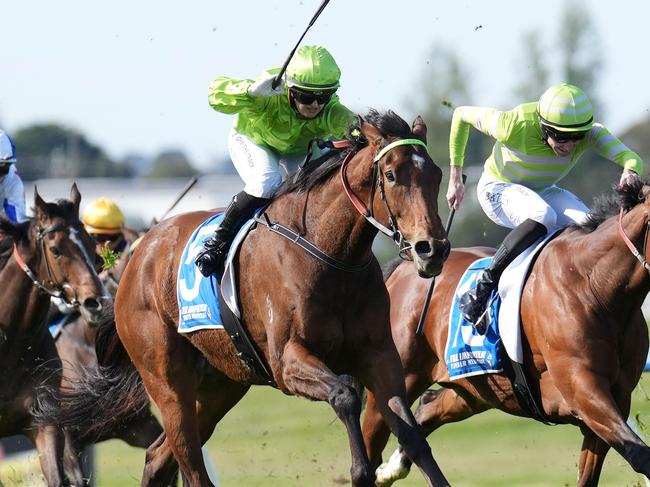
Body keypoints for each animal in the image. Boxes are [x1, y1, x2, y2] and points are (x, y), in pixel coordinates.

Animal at [53, 111, 450, 487]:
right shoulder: (286, 360)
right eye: (392, 174)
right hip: (165, 380)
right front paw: (360, 471)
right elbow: (345, 394)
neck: (330, 253)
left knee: (158, 456)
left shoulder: (379, 355)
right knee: (189, 462)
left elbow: (413, 435)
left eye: (436, 174)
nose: (432, 249)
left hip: (221, 384)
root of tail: (136, 255)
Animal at [362, 180, 648, 487]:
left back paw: (390, 470)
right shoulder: (583, 390)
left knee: (429, 406)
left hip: (476, 387)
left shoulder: (615, 399)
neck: (594, 285)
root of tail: (405, 267)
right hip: (397, 380)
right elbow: (640, 455)